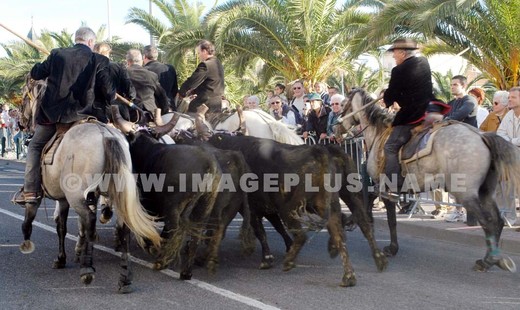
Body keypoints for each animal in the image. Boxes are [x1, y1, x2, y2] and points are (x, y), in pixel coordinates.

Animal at [207, 133, 386, 286]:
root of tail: (321, 150)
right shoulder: (268, 209)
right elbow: (276, 227)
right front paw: (284, 248)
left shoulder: (254, 209)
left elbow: (262, 231)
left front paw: (267, 259)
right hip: (343, 198)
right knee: (356, 227)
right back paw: (359, 270)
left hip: (291, 208)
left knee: (303, 235)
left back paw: (289, 262)